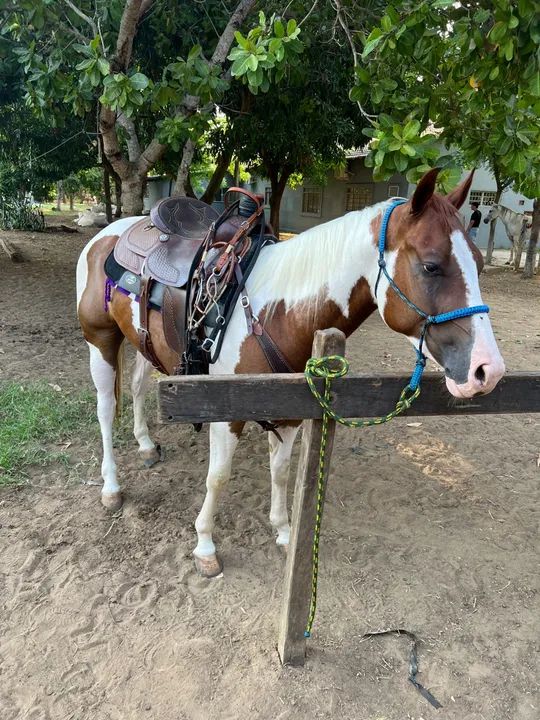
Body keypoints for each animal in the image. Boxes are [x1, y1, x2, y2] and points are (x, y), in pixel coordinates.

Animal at [77, 168, 505, 577]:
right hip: (101, 341)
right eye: (431, 265)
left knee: (135, 388)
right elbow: (219, 476)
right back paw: (111, 487)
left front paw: (283, 531)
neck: (276, 314)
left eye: (480, 264)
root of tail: (108, 234)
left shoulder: (289, 413)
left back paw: (146, 445)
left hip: (143, 343)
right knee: (105, 409)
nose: (488, 370)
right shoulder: (225, 414)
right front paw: (205, 546)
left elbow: (281, 472)